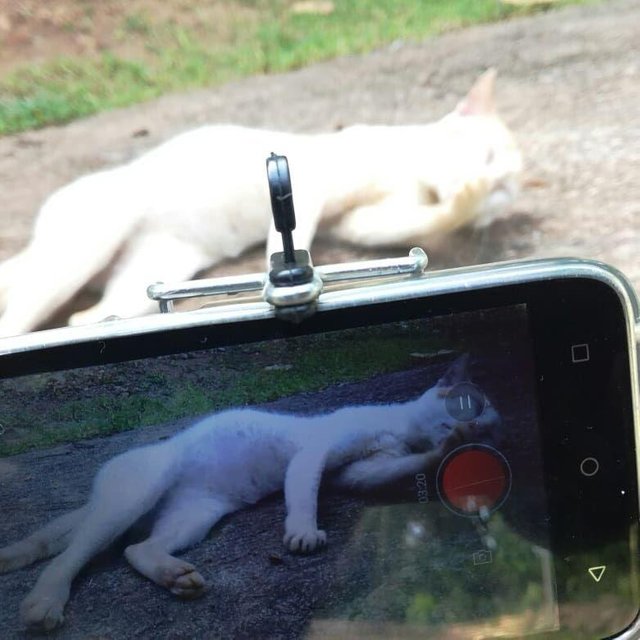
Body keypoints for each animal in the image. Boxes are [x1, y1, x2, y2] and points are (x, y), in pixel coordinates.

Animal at [0, 70, 520, 338]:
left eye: (504, 193)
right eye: (487, 157)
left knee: (91, 312)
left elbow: (397, 223)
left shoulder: (363, 220)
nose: (493, 185)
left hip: (148, 270)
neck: (410, 169)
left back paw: (92, 319)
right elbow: (290, 229)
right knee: (25, 303)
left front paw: (461, 206)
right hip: (85, 246)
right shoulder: (310, 182)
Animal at [0, 356, 500, 632]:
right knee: (71, 556)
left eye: (489, 426)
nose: (478, 431)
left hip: (194, 515)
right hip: (135, 496)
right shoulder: (316, 454)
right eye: (467, 407)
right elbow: (304, 495)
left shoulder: (358, 473)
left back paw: (175, 576)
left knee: (136, 549)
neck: (398, 429)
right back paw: (44, 603)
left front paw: (445, 454)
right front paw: (303, 533)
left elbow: (399, 466)